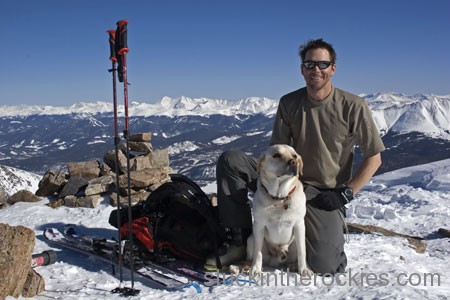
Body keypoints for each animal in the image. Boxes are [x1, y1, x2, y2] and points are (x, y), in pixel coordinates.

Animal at [246, 145, 312, 276]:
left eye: (294, 155)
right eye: (276, 155)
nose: (293, 162)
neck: (279, 198)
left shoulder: (299, 225)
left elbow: (302, 251)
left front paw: (304, 269)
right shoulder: (259, 225)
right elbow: (258, 252)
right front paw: (255, 268)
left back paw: (292, 264)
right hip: (250, 240)